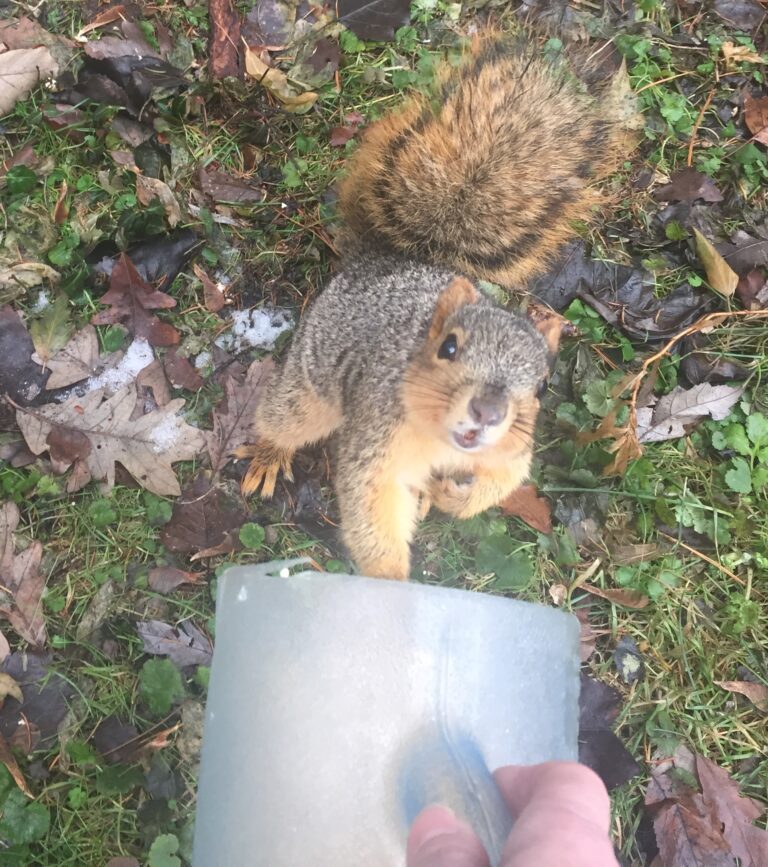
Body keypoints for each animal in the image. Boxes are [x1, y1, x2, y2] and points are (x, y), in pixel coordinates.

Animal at [238, 32, 629, 580]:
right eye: (448, 348)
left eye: (542, 385)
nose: (488, 411)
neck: (443, 441)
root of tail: (385, 260)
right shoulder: (376, 442)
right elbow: (371, 504)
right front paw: (390, 583)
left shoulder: (509, 449)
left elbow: (503, 480)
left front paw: (454, 498)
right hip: (309, 384)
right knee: (285, 417)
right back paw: (271, 453)